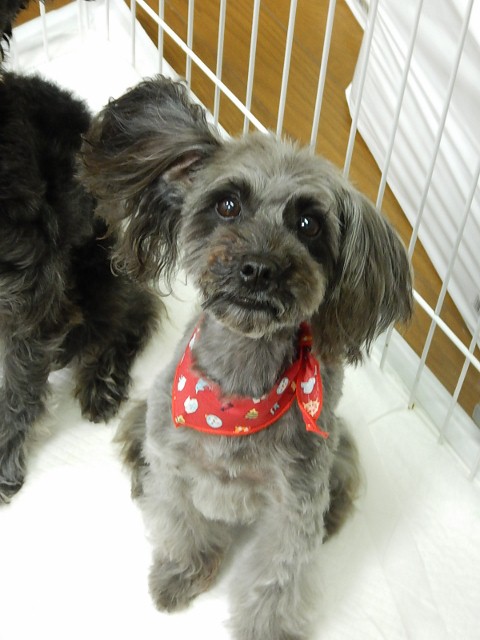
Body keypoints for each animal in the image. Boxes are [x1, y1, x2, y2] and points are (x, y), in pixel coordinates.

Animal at [80, 75, 413, 639]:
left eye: (308, 223)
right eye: (228, 205)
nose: (258, 268)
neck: (236, 397)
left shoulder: (293, 510)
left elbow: (275, 581)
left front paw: (266, 629)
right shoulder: (174, 467)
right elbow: (181, 526)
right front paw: (179, 575)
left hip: (338, 446)